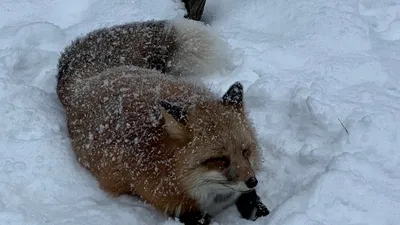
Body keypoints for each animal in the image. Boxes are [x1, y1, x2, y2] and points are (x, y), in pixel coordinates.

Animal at [55, 18, 268, 225]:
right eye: (220, 159)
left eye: (246, 151)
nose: (253, 181)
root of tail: (90, 80)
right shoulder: (165, 200)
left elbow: (250, 199)